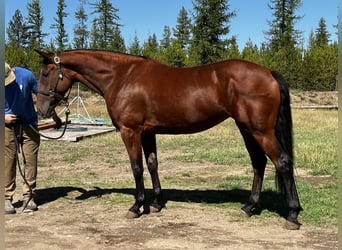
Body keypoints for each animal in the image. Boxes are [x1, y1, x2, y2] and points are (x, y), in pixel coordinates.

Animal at [34, 49, 302, 229]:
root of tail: (268, 72)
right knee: (259, 163)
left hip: (260, 131)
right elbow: (152, 164)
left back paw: (292, 215)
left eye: (46, 73)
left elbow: (136, 168)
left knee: (282, 163)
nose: (42, 109)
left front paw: (136, 207)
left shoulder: (130, 131)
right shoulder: (147, 132)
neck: (121, 76)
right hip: (247, 129)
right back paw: (249, 207)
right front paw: (155, 203)